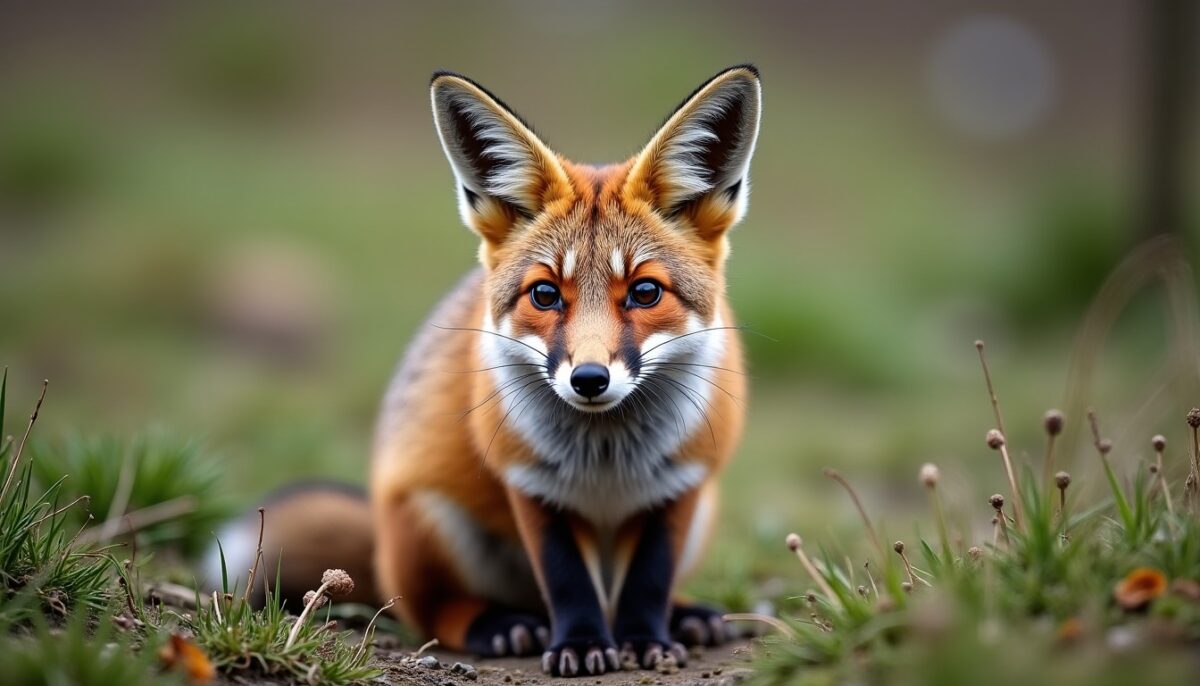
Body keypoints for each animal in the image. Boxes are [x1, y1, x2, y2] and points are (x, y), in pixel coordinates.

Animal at [214, 64, 762, 678]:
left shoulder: (683, 482)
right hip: (432, 524)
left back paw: (686, 614)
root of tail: (378, 533)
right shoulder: (529, 480)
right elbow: (567, 582)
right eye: (545, 294)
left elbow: (649, 579)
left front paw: (645, 639)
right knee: (436, 612)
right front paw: (580, 645)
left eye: (645, 292)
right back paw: (502, 625)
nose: (589, 379)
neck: (606, 463)